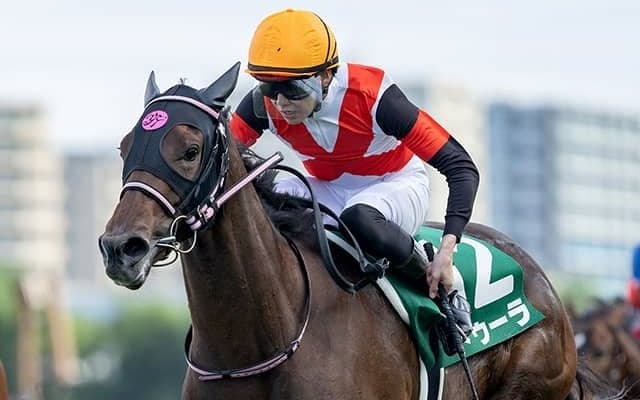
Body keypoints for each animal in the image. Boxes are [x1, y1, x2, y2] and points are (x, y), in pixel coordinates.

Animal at [98, 63, 620, 399]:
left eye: (189, 150)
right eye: (125, 147)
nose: (121, 248)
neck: (264, 337)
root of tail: (542, 280)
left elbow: (457, 161)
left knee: (367, 218)